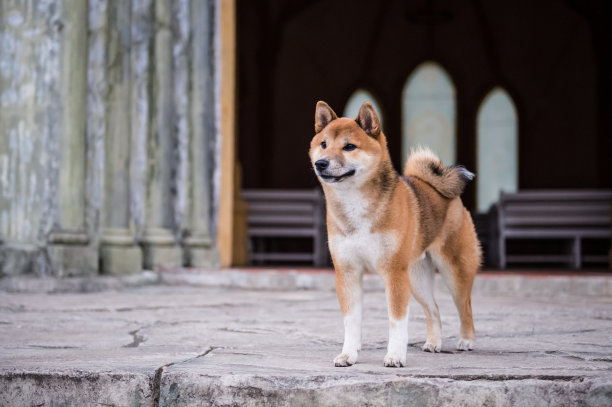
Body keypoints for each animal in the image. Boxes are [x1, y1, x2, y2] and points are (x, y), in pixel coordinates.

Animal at [308, 101, 480, 366]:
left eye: (349, 146)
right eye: (323, 144)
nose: (321, 163)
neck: (356, 205)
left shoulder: (394, 273)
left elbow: (397, 321)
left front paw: (396, 355)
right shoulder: (347, 272)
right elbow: (351, 321)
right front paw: (348, 354)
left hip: (455, 271)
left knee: (466, 307)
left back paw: (466, 341)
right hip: (417, 278)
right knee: (434, 310)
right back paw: (433, 343)